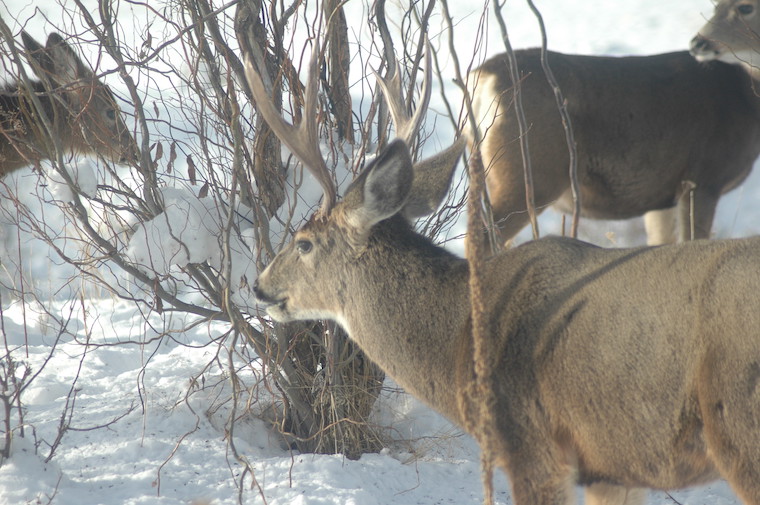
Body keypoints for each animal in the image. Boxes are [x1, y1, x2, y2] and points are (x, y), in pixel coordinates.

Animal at [246, 39, 760, 505]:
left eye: (304, 242)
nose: (259, 286)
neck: (460, 338)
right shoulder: (611, 467)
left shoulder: (531, 442)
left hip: (739, 423)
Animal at [467, 2, 760, 246]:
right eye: (718, 6)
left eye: (744, 7)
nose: (698, 43)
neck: (745, 92)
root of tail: (484, 76)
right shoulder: (703, 177)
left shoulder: (663, 196)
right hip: (531, 173)